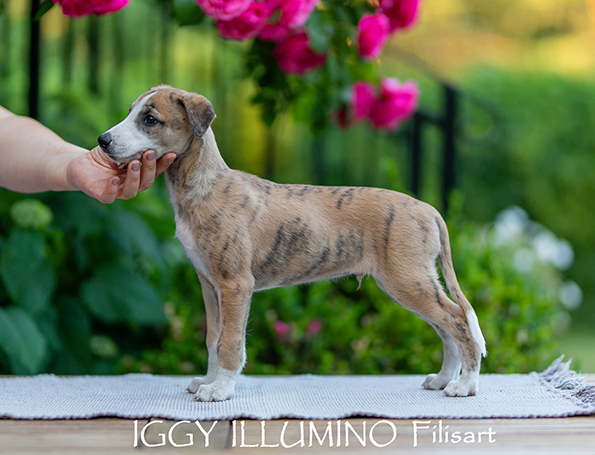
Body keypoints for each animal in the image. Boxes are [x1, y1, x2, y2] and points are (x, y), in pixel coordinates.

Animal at [98, 85, 487, 402]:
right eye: (131, 112)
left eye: (150, 119)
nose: (103, 140)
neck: (202, 187)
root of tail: (427, 208)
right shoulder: (209, 285)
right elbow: (213, 338)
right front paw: (208, 381)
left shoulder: (235, 285)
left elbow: (230, 342)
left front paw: (220, 390)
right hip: (414, 283)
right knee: (446, 328)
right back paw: (443, 379)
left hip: (407, 279)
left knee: (457, 320)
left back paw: (465, 385)